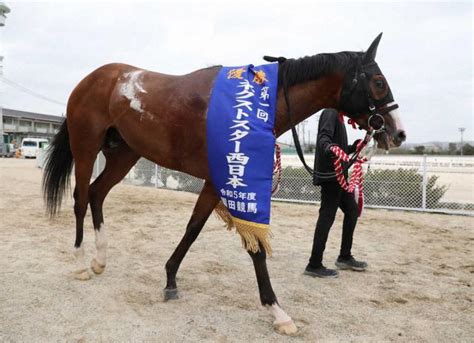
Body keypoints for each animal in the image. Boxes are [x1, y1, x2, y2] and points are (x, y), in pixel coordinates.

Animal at [42, 33, 404, 334]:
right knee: (80, 197)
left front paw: (170, 278)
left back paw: (100, 260)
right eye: (378, 82)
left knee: (97, 193)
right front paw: (277, 311)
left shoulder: (216, 182)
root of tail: (93, 79)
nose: (398, 133)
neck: (251, 110)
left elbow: (193, 228)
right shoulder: (232, 181)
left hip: (124, 154)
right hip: (86, 148)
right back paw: (81, 264)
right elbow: (255, 248)